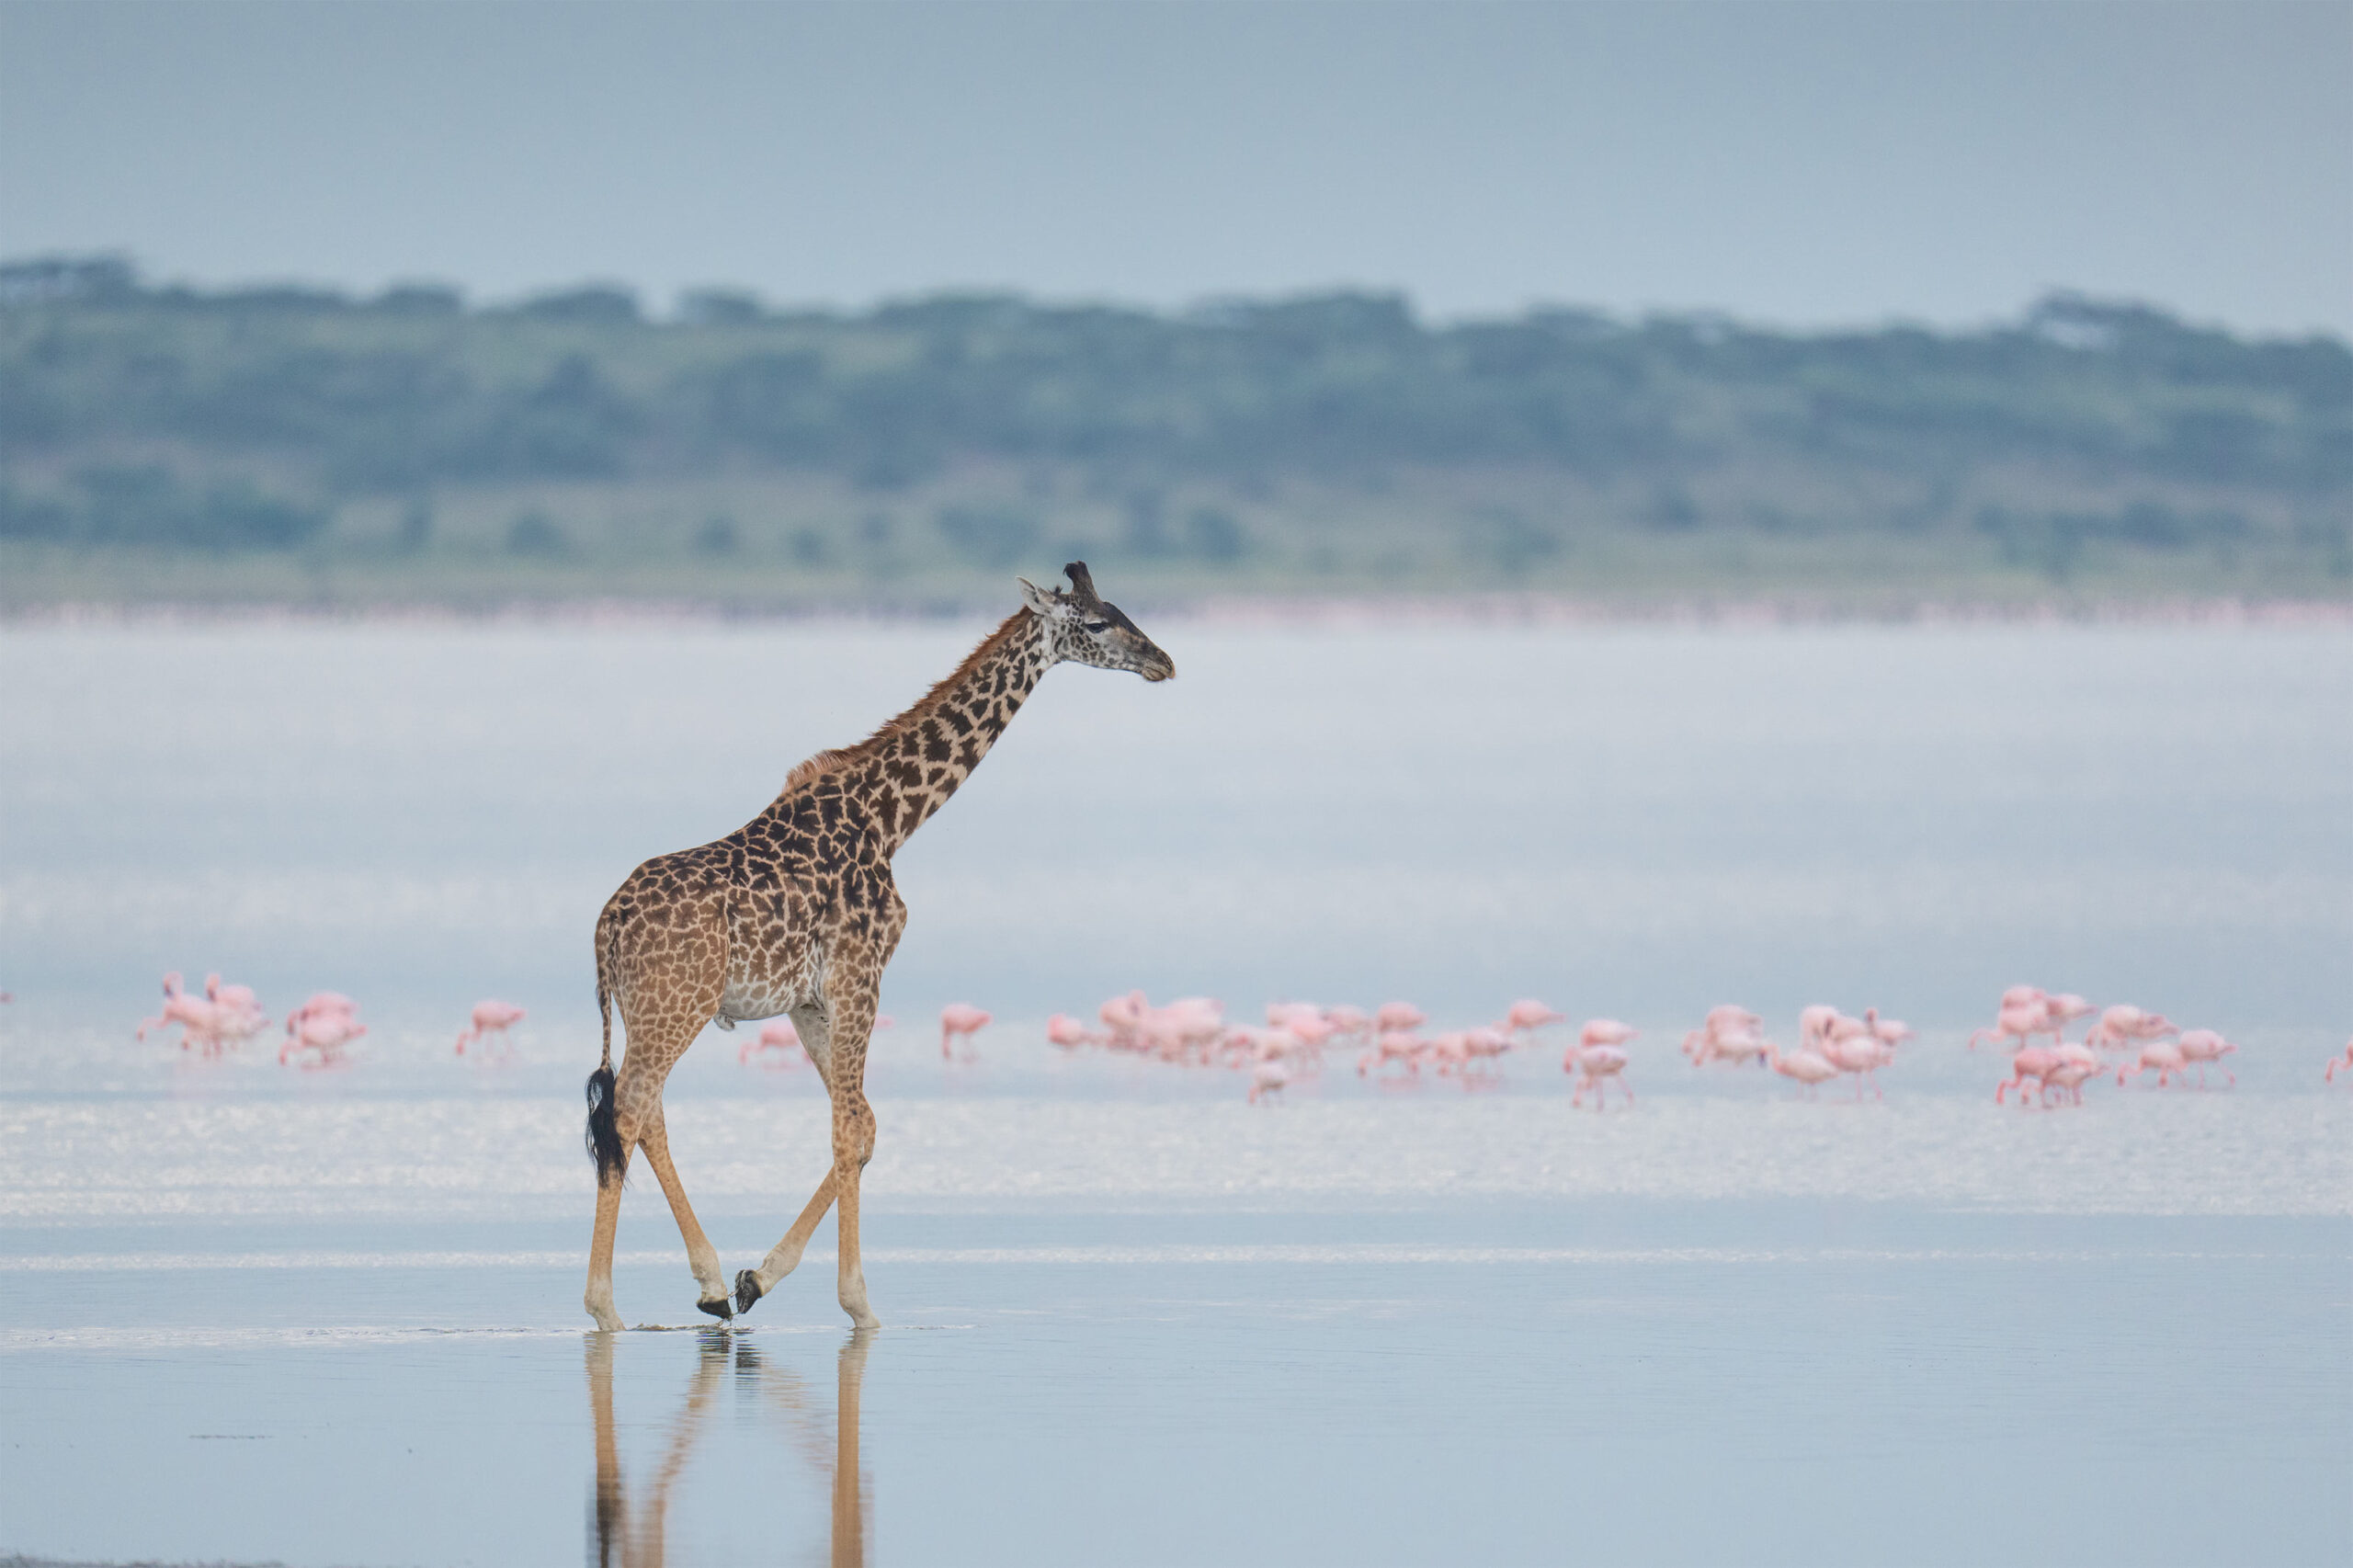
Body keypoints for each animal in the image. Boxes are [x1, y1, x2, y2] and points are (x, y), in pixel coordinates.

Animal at [583, 555, 1171, 1327]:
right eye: (1099, 623)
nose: (1162, 661)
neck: (891, 818)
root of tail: (606, 928)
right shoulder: (861, 973)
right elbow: (848, 1130)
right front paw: (858, 1301)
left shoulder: (811, 999)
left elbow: (861, 1127)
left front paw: (756, 1278)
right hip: (674, 1008)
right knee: (626, 1113)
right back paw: (606, 1308)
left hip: (650, 1011)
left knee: (644, 1116)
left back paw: (709, 1284)